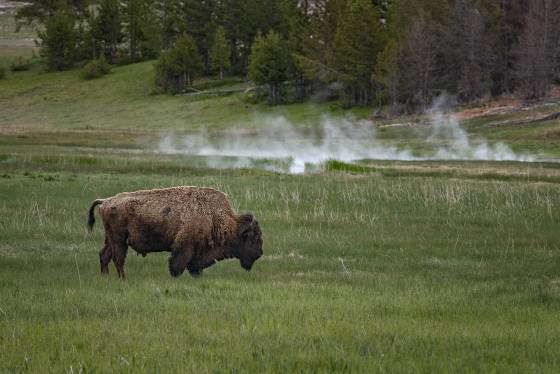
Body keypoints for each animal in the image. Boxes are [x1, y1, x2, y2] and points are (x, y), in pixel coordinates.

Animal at [86, 186, 264, 278]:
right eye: (253, 238)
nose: (259, 253)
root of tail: (106, 201)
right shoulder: (184, 246)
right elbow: (177, 265)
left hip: (110, 239)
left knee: (104, 255)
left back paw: (105, 277)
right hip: (119, 239)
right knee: (118, 258)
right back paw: (123, 278)